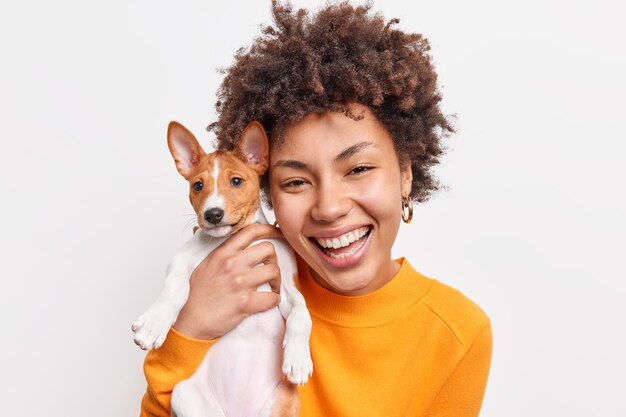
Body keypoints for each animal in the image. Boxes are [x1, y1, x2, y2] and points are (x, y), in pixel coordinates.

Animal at [134, 121, 314, 416]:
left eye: (236, 181)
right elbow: (175, 287)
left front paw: (298, 358)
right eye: (198, 186)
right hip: (185, 395)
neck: (233, 239)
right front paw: (154, 323)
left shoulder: (285, 284)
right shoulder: (182, 259)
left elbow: (302, 312)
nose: (213, 214)